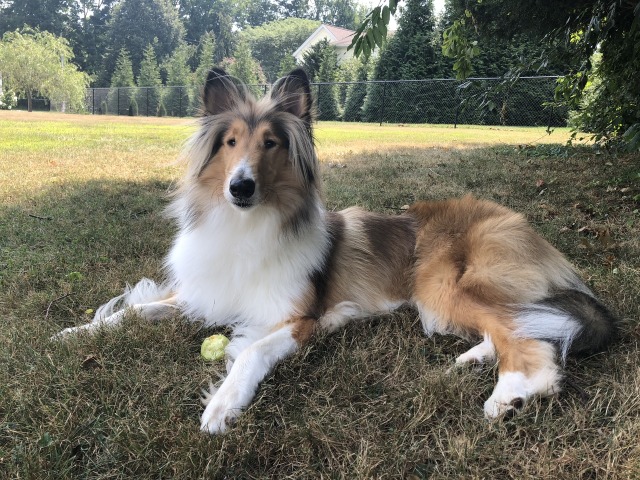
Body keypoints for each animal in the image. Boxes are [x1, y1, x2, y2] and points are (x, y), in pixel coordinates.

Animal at [56, 69, 620, 434]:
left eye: (271, 144)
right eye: (230, 142)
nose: (240, 187)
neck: (246, 225)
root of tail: (528, 230)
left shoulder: (298, 318)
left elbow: (249, 352)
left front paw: (222, 406)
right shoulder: (201, 293)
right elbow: (135, 310)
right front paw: (76, 332)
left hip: (446, 284)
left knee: (528, 337)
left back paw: (510, 394)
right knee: (522, 323)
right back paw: (474, 358)